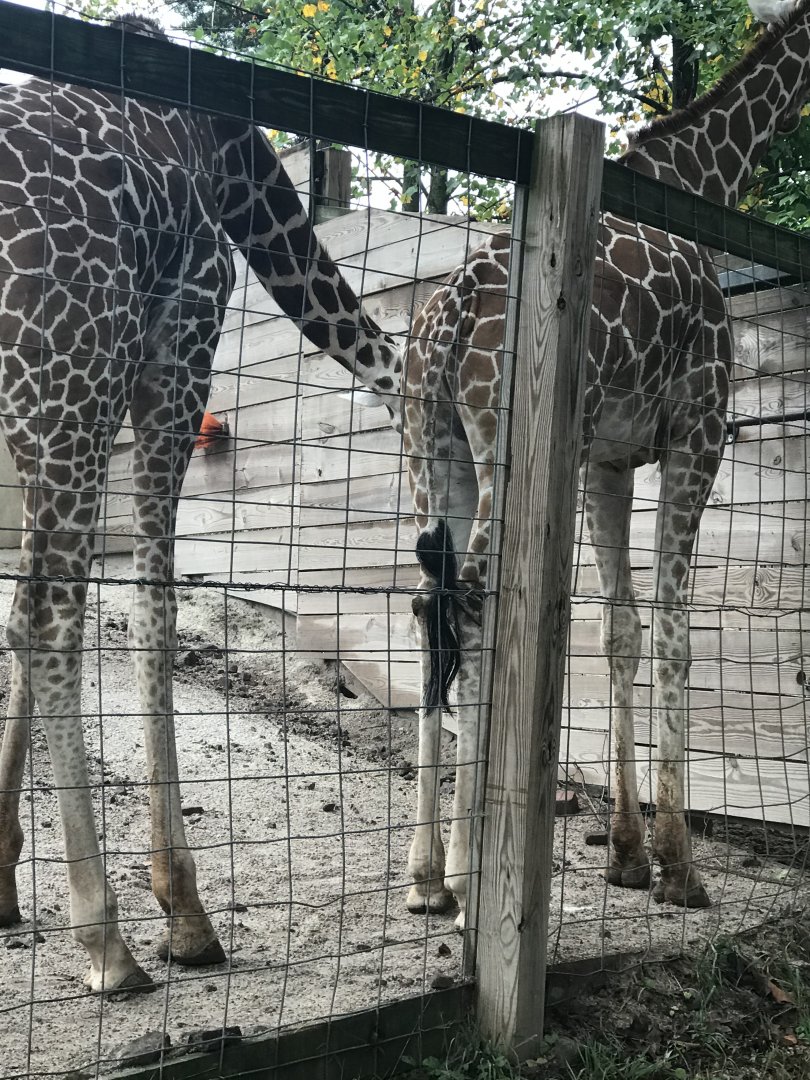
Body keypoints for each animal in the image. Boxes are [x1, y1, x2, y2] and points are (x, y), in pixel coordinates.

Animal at [0, 15, 401, 992]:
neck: (232, 160)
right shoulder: (175, 351)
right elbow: (154, 607)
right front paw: (181, 911)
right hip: (79, 377)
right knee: (48, 618)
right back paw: (108, 943)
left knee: (31, 608)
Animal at [403, 0, 809, 928]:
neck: (697, 178)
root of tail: (451, 312)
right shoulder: (700, 425)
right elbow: (673, 630)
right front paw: (678, 865)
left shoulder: (610, 461)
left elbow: (620, 630)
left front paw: (626, 853)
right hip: (501, 446)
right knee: (471, 603)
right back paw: (472, 873)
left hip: (434, 450)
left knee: (428, 603)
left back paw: (426, 874)